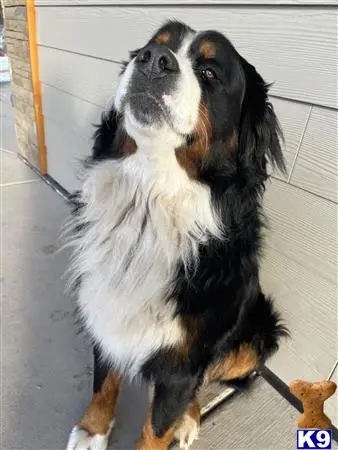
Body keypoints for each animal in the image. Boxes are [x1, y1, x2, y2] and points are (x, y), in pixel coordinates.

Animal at [66, 19, 288, 448]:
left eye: (209, 72)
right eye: (154, 44)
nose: (153, 60)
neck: (149, 198)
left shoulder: (183, 361)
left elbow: (156, 427)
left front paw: (167, 425)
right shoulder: (102, 306)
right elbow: (104, 380)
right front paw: (92, 430)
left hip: (256, 336)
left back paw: (187, 421)